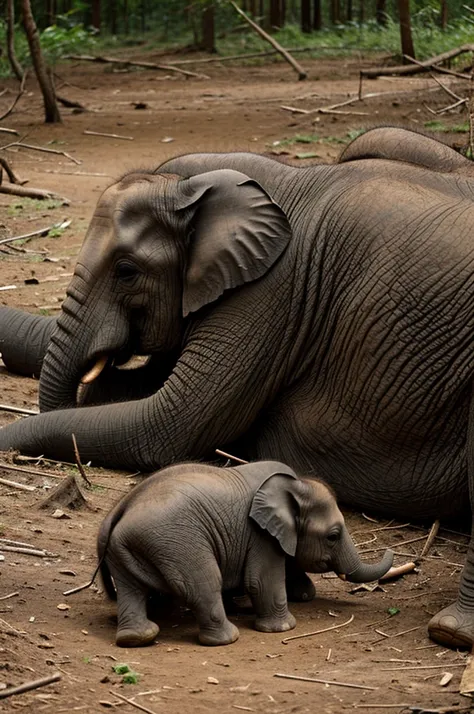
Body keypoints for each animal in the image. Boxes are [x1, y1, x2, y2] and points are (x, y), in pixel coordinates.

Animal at [96, 462, 392, 644]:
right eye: (333, 536)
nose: (390, 550)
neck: (295, 484)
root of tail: (118, 512)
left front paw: (303, 596)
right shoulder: (259, 535)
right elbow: (260, 580)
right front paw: (284, 628)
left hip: (126, 548)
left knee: (132, 590)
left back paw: (139, 637)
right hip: (176, 543)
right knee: (204, 583)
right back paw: (227, 639)